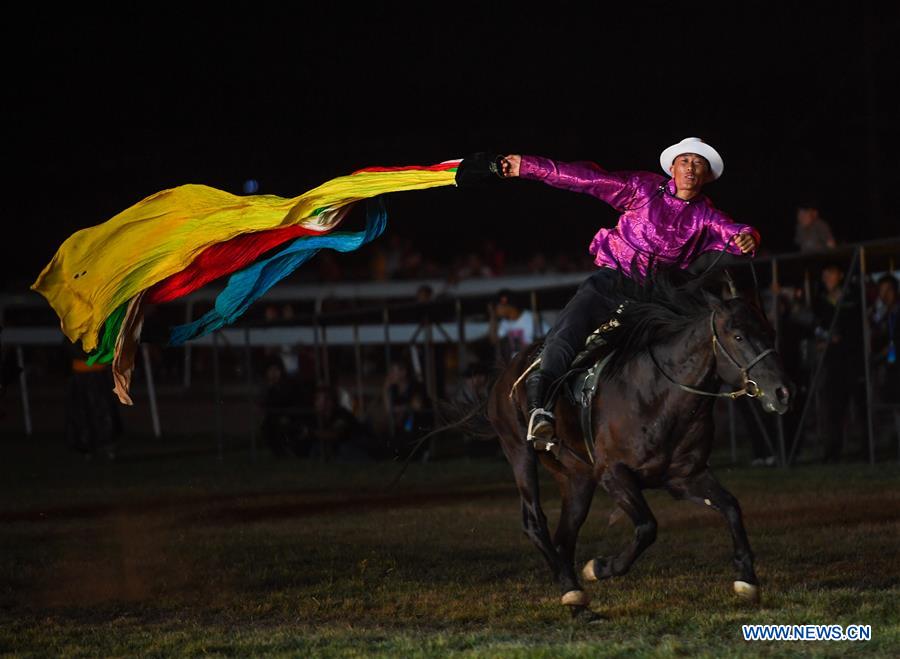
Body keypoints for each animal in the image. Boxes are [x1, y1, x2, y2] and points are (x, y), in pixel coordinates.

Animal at [488, 274, 792, 620]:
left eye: (770, 332)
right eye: (738, 335)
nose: (782, 392)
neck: (658, 395)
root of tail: (509, 370)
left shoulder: (685, 477)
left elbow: (730, 507)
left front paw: (747, 580)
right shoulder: (613, 474)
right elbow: (647, 526)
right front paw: (600, 567)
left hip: (576, 477)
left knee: (565, 534)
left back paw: (577, 601)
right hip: (519, 451)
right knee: (534, 522)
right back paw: (571, 589)